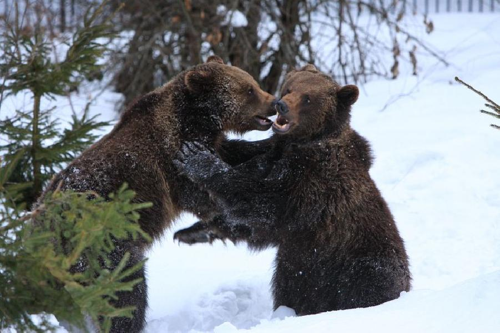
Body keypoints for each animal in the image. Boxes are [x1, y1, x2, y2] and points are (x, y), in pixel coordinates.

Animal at [37, 55, 276, 330]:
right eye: (249, 90)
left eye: (253, 83)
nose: (274, 103)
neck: (194, 120)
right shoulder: (172, 167)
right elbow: (204, 196)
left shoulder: (208, 144)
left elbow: (234, 152)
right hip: (104, 244)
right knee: (126, 291)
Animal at [172, 64, 410, 314]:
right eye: (289, 88)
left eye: (308, 98)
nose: (281, 104)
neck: (301, 143)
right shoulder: (274, 156)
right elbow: (247, 219)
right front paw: (190, 232)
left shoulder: (309, 185)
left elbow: (260, 203)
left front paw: (196, 157)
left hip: (355, 271)